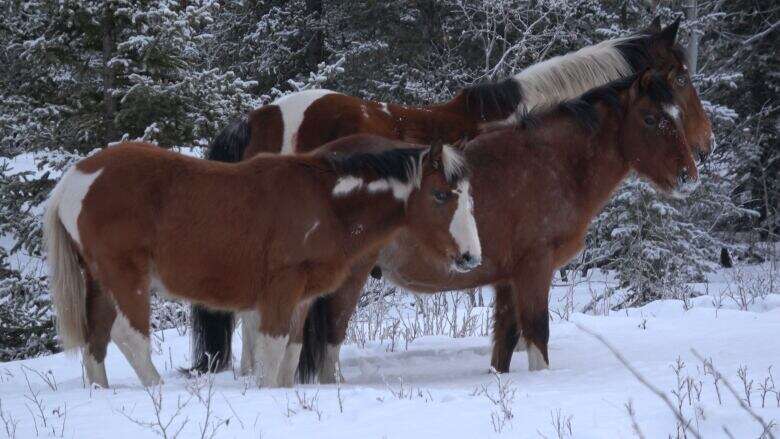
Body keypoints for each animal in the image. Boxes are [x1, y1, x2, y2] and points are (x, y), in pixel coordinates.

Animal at [44, 138, 482, 388]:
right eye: (441, 195)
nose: (471, 256)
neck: (326, 203)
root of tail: (74, 180)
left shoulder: (303, 297)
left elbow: (291, 352)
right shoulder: (280, 291)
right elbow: (272, 353)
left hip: (100, 281)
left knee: (96, 336)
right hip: (125, 277)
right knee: (127, 335)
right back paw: (158, 391)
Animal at [189, 17, 712, 374]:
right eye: (678, 80)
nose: (696, 163)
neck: (548, 157)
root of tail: (257, 117)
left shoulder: (505, 276)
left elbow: (505, 343)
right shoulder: (532, 269)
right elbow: (535, 339)